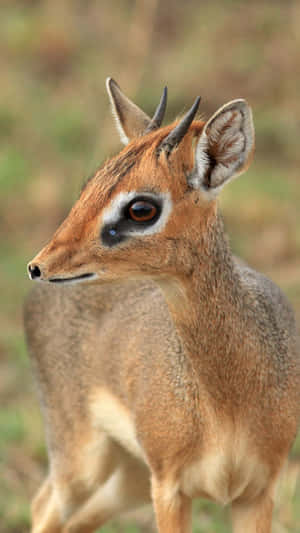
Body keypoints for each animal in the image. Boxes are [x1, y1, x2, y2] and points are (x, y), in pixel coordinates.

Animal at [25, 79, 300, 532]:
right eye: (91, 185)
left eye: (141, 208)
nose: (39, 265)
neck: (226, 407)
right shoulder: (170, 488)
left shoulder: (257, 492)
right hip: (83, 459)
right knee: (43, 505)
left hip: (129, 476)